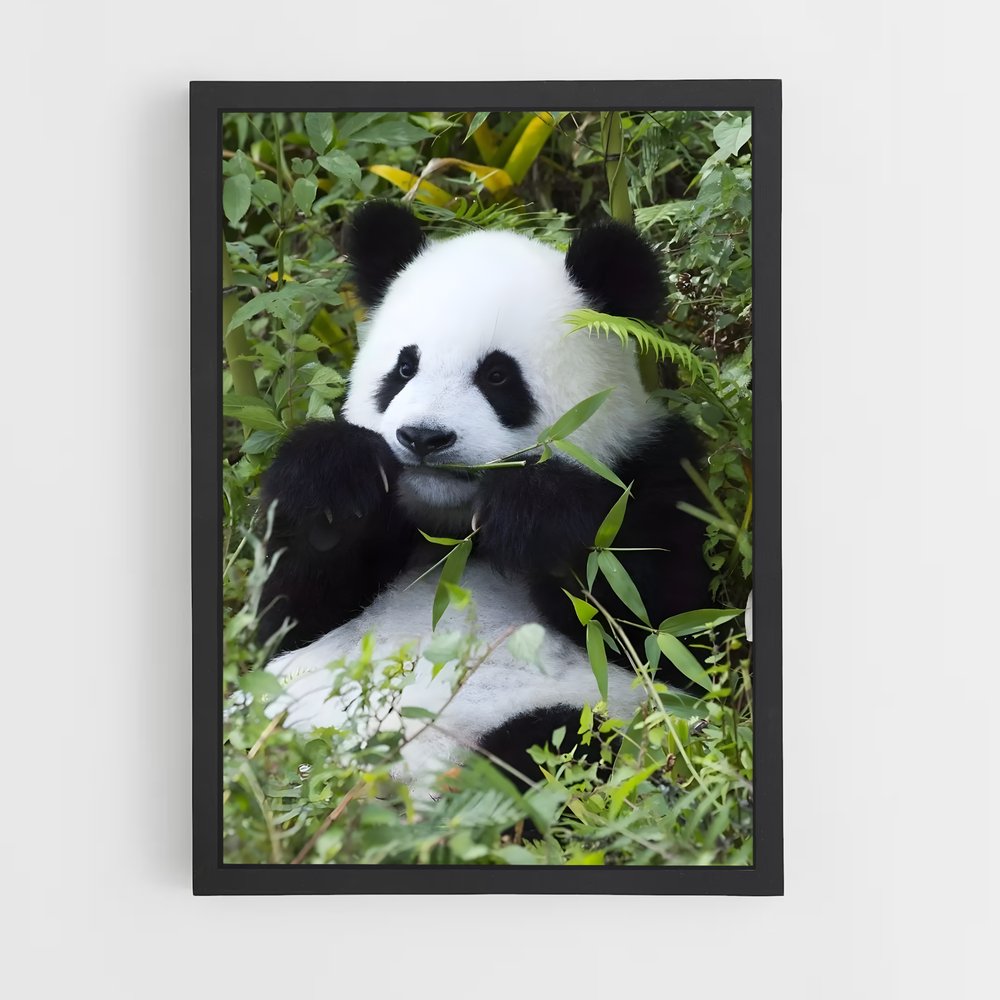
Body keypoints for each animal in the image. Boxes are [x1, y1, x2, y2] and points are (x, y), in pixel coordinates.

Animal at [258, 201, 712, 788]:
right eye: (404, 368)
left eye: (497, 376)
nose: (424, 437)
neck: (451, 530)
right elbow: (287, 617)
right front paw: (335, 475)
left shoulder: (652, 470)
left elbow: (662, 631)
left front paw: (532, 510)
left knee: (556, 742)